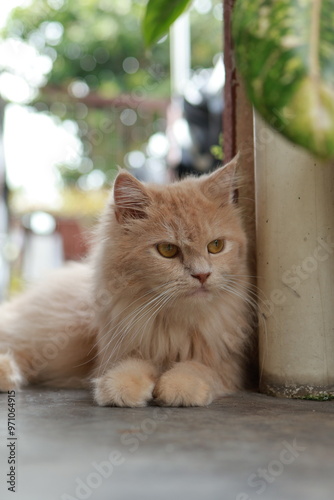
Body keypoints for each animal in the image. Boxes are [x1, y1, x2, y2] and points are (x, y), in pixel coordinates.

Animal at [0, 155, 252, 406]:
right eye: (167, 250)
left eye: (216, 246)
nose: (202, 275)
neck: (174, 326)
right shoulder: (118, 351)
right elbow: (131, 366)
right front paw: (121, 387)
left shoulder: (230, 365)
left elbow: (197, 368)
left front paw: (178, 386)